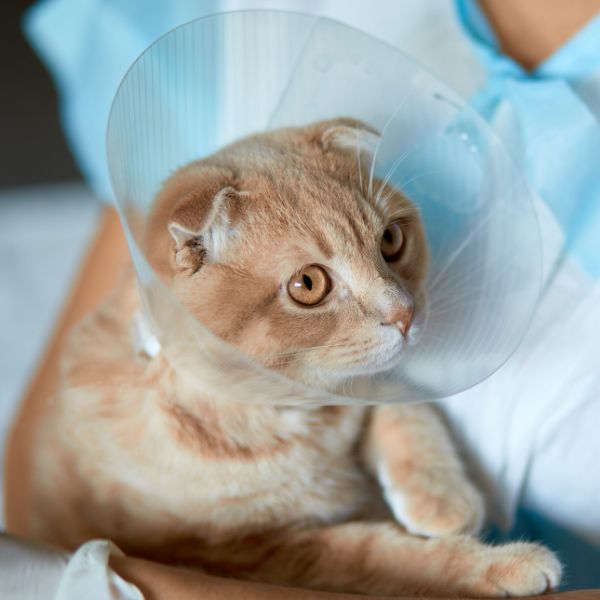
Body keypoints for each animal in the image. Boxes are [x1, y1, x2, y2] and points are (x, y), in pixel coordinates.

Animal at [25, 119, 560, 596]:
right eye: (308, 284)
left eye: (391, 240)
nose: (405, 314)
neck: (291, 416)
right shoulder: (248, 553)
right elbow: (380, 554)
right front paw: (502, 564)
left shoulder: (364, 384)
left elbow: (407, 408)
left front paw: (443, 498)